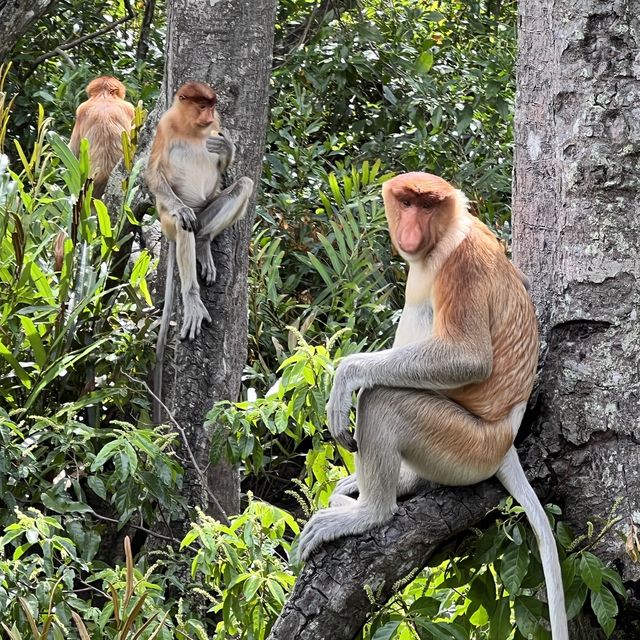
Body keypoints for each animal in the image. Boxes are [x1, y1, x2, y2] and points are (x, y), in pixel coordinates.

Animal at [146, 82, 254, 422]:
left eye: (212, 107)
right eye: (200, 105)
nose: (208, 116)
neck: (191, 128)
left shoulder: (215, 128)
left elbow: (226, 165)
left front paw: (226, 148)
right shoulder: (164, 126)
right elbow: (153, 174)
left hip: (208, 208)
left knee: (244, 184)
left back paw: (205, 242)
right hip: (169, 220)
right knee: (184, 226)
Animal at [298, 172, 568, 640]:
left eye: (427, 206)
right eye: (406, 202)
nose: (410, 227)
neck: (445, 235)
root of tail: (506, 446)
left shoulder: (463, 266)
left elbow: (468, 358)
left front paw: (346, 377)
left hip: (465, 446)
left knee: (384, 398)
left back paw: (370, 512)